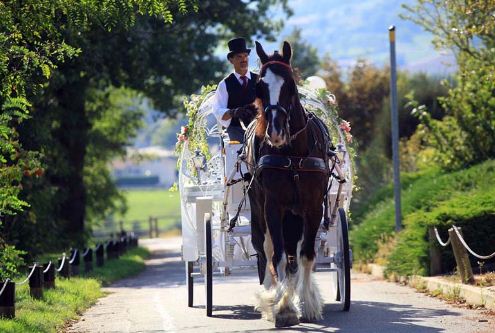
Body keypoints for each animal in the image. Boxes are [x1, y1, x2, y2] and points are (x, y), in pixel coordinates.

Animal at [245, 40, 332, 326]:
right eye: (259, 87)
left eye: (291, 85)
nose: (275, 131)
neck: (293, 154)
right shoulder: (273, 206)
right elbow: (278, 255)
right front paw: (282, 306)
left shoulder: (314, 207)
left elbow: (306, 255)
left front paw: (307, 302)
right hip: (260, 209)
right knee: (268, 248)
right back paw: (271, 293)